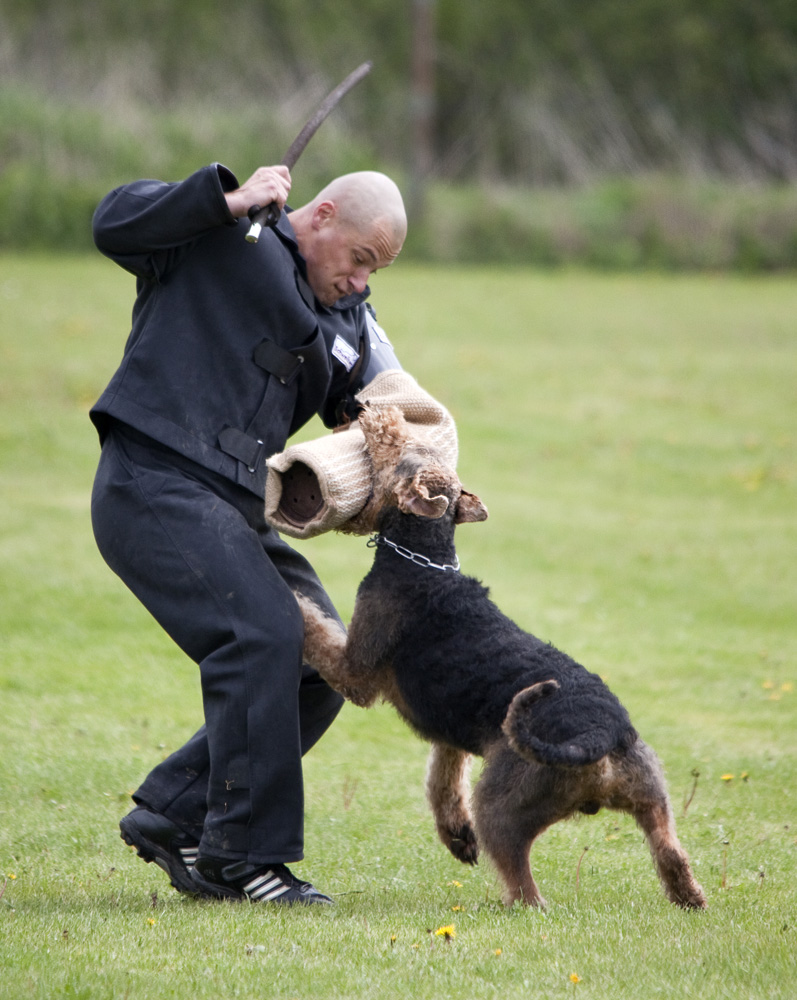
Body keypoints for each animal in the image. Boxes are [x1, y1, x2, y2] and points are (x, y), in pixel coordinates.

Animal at [296, 402, 704, 912]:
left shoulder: (357, 671)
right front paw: (457, 836)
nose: (375, 410)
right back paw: (691, 898)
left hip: (504, 806)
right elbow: (443, 781)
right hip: (651, 795)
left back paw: (507, 906)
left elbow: (315, 627)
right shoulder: (450, 731)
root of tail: (600, 735)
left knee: (527, 889)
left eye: (399, 448)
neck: (422, 559)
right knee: (672, 853)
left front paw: (290, 593)